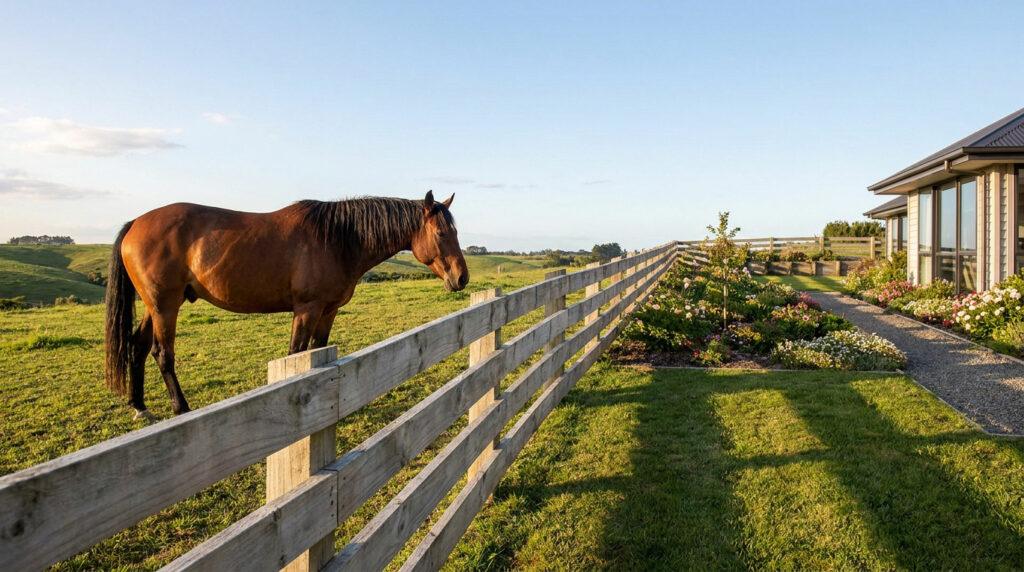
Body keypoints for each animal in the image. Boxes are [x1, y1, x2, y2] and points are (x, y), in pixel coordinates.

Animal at [104, 191, 468, 420]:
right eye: (441, 233)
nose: (461, 277)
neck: (338, 239)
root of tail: (135, 223)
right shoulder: (306, 310)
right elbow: (296, 353)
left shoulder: (328, 311)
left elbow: (317, 350)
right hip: (165, 306)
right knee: (162, 354)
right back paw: (181, 409)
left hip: (156, 306)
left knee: (137, 346)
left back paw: (139, 405)